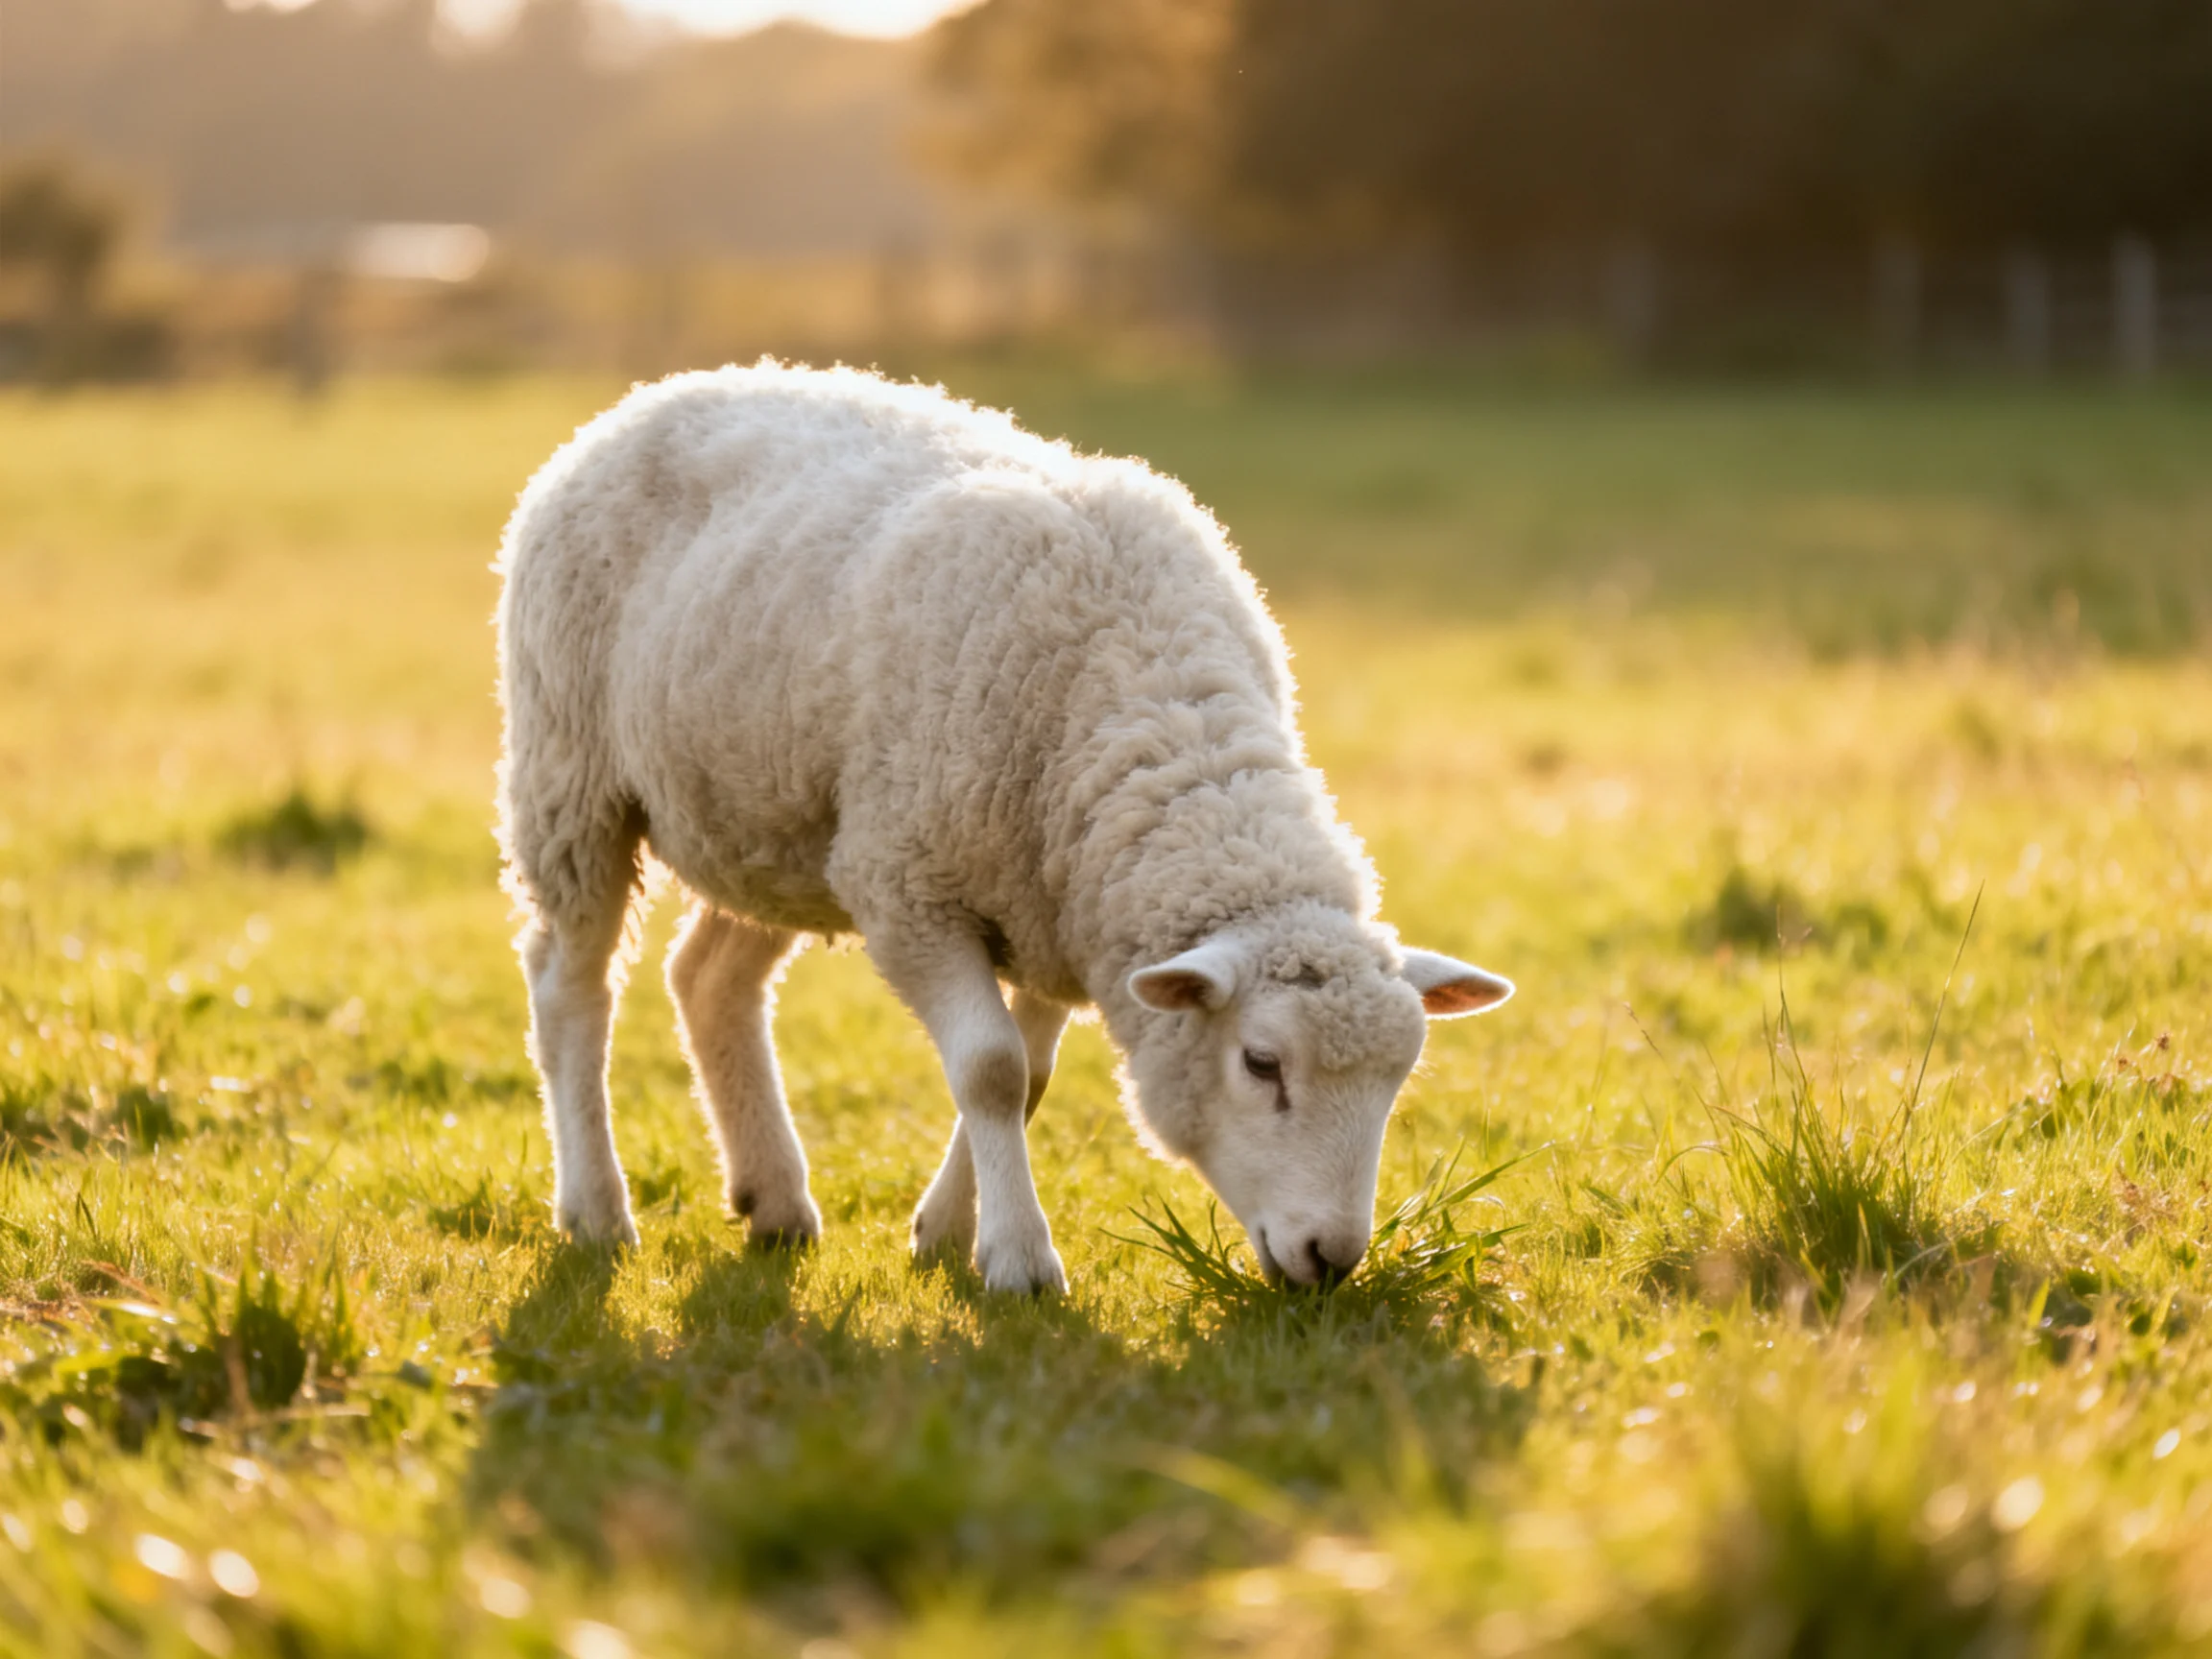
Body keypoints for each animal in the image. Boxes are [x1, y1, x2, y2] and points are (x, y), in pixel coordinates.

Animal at [494, 361, 1513, 1294]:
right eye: (1261, 1063)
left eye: (1398, 1079)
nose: (1331, 1261)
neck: (1148, 702)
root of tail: (664, 389)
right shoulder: (910, 886)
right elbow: (989, 1068)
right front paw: (1019, 1261)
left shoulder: (1058, 906)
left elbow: (1031, 1079)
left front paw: (946, 1233)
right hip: (573, 775)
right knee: (570, 988)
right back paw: (597, 1211)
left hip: (769, 822)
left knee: (708, 980)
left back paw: (774, 1200)